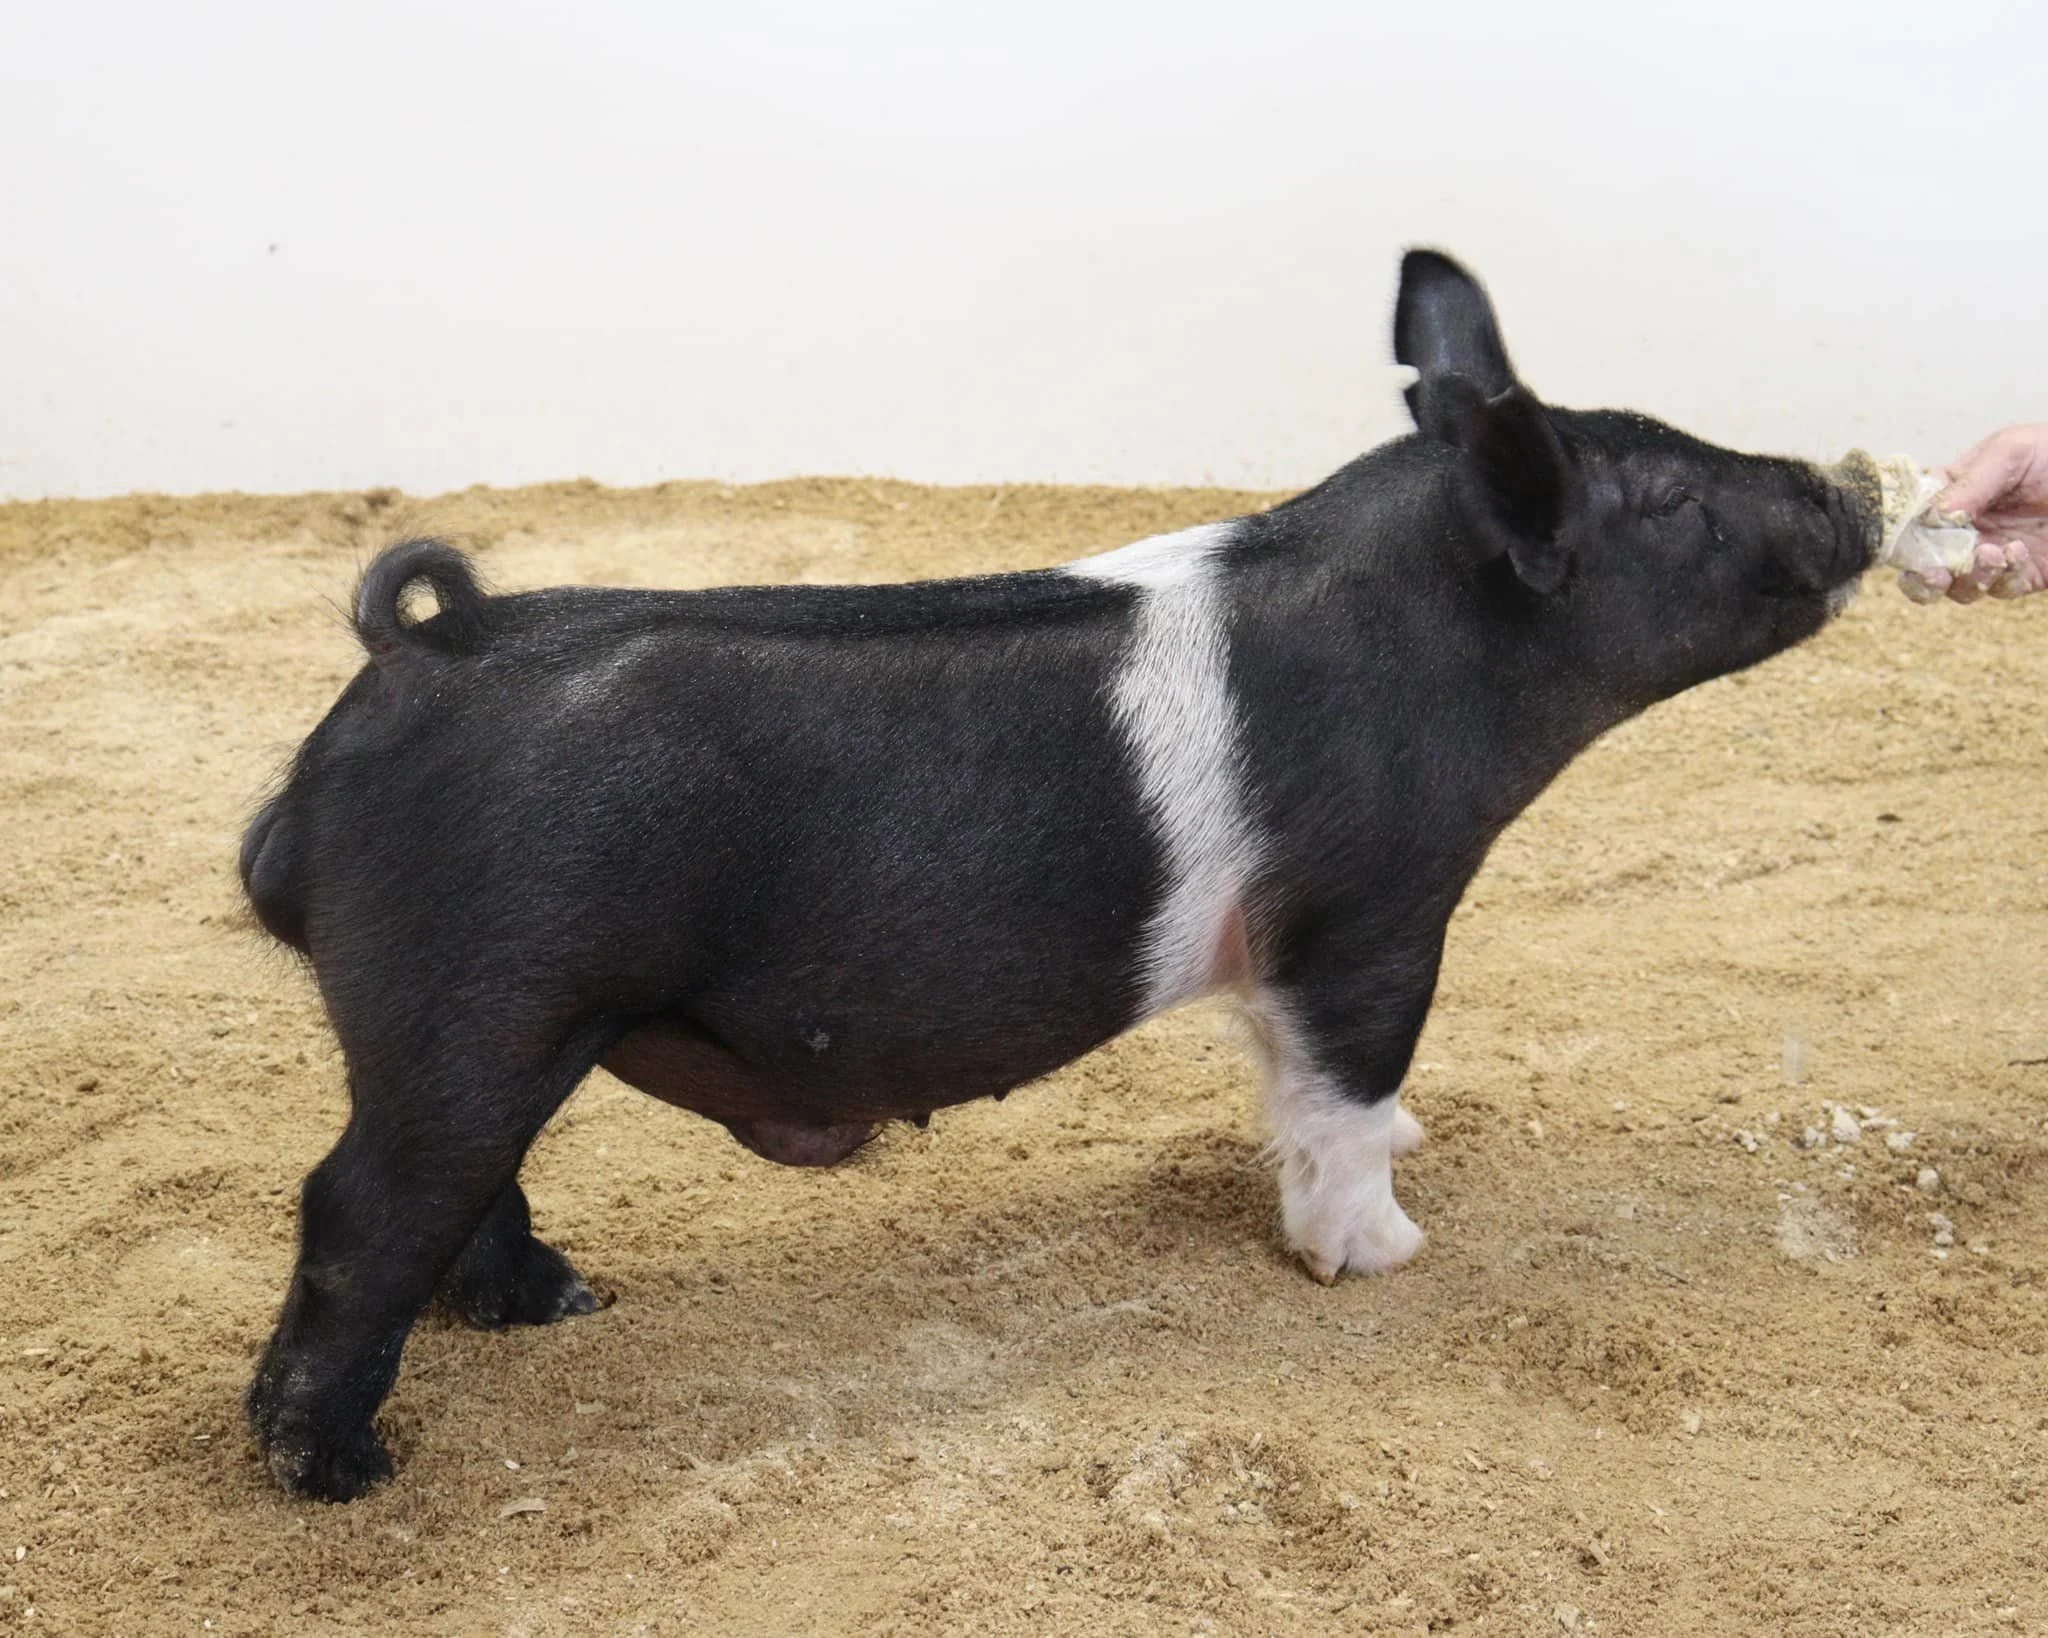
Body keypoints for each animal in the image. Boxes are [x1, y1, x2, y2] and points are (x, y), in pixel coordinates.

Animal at [239, 250, 1879, 1499]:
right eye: (1667, 502)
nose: (1852, 486)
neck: (1438, 644)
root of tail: (411, 660)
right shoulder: (1369, 909)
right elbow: (1342, 1092)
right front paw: (1381, 1253)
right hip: (480, 999)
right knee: (355, 1207)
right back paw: (342, 1471)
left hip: (486, 1029)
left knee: (460, 1187)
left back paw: (559, 1302)